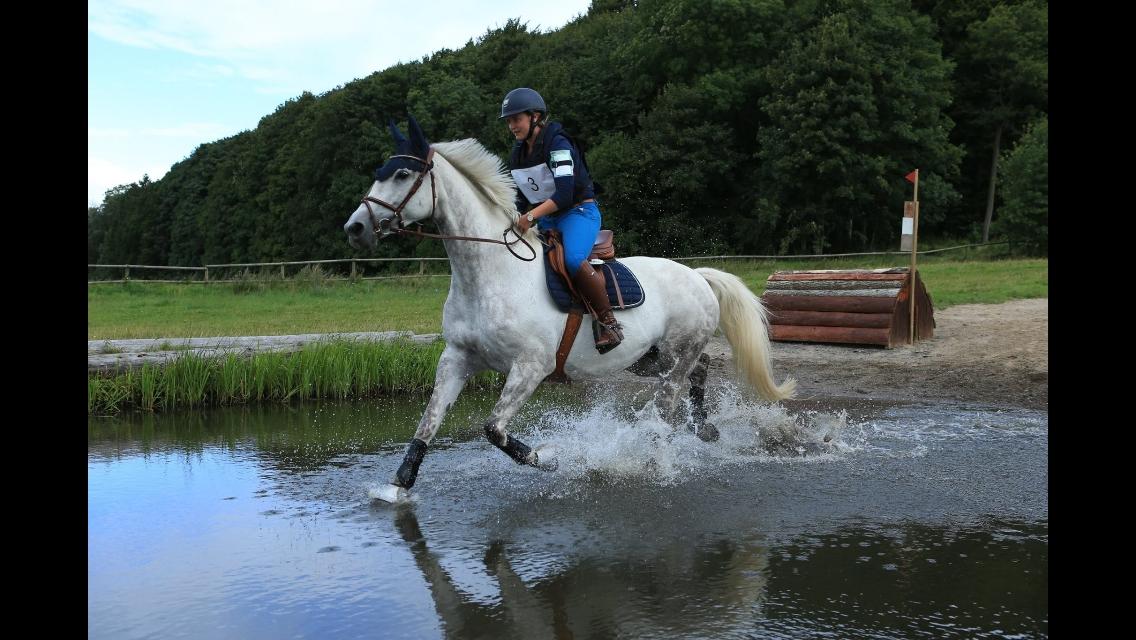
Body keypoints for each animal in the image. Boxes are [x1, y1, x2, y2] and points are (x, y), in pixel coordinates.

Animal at [340, 117, 795, 502]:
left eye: (402, 175)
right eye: (380, 172)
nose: (355, 229)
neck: (489, 272)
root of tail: (698, 276)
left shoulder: (531, 366)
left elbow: (494, 429)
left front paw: (548, 457)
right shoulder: (456, 359)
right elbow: (428, 421)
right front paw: (399, 485)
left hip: (672, 358)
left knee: (667, 407)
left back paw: (650, 459)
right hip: (648, 358)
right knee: (699, 369)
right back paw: (705, 429)